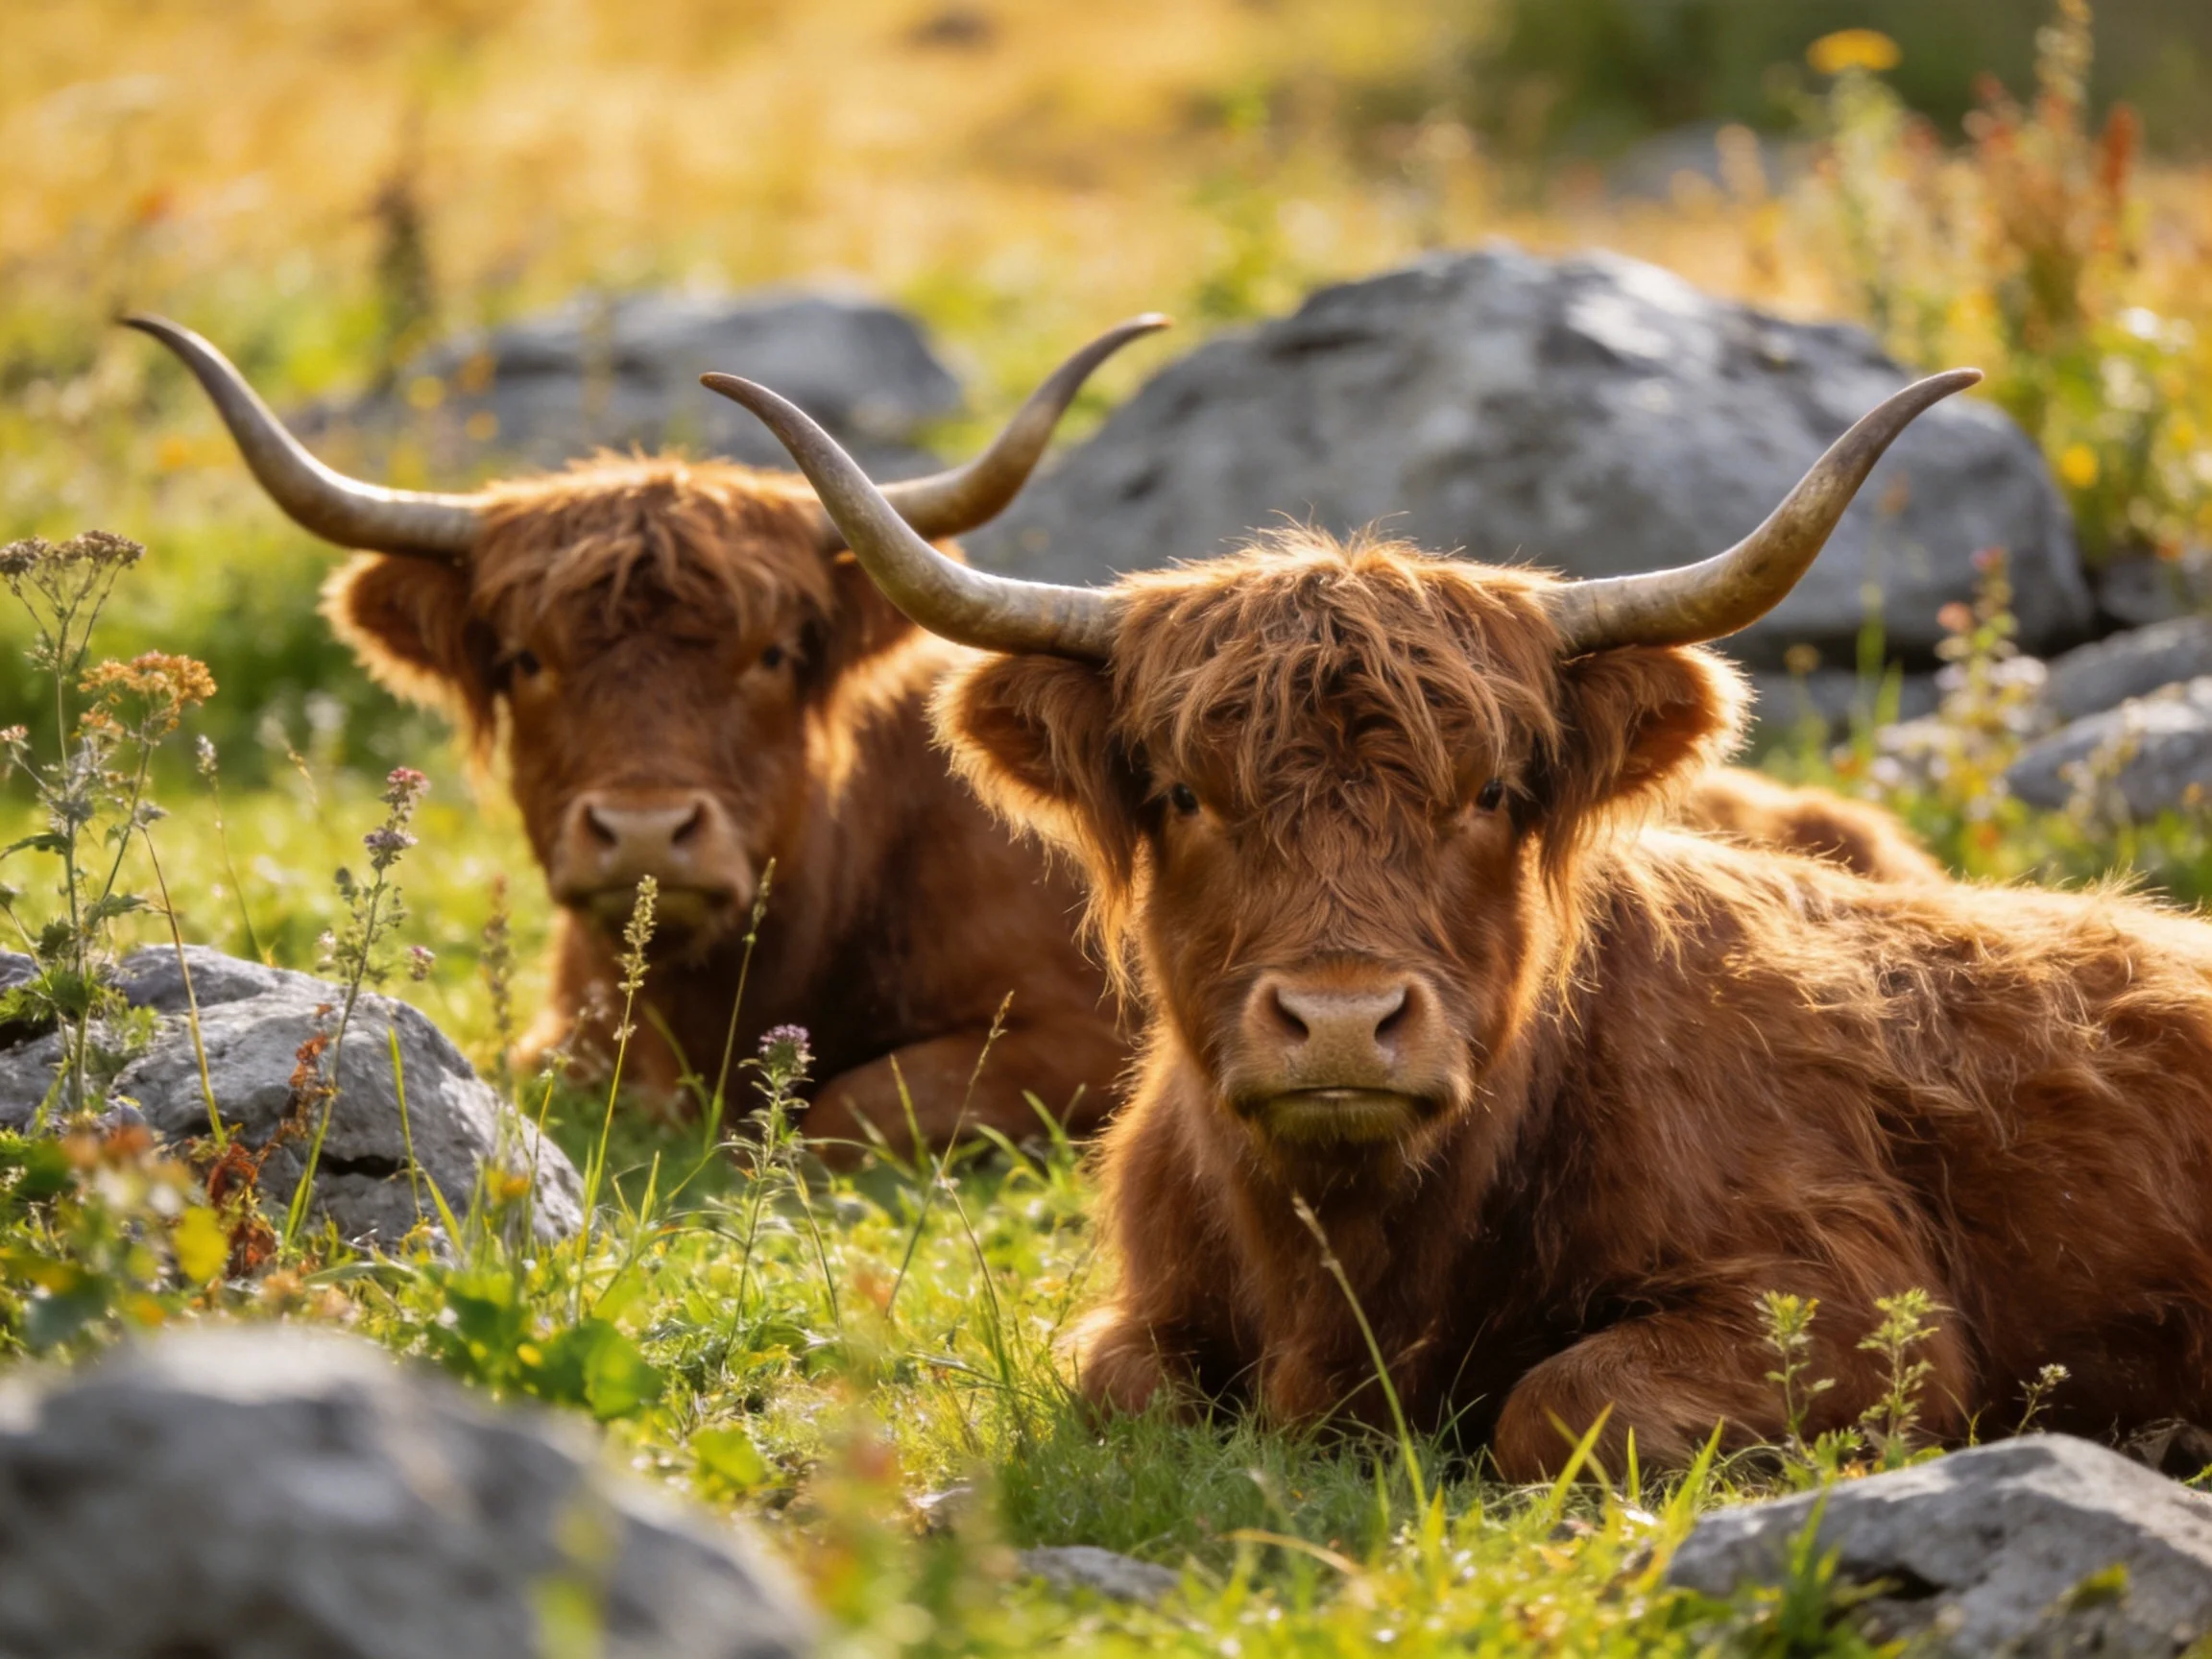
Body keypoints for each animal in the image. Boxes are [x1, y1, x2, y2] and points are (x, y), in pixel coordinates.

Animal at [711, 361, 2212, 1480]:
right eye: (1187, 794)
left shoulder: (1847, 1308)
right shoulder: (1147, 1312)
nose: (1339, 1020)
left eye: (1490, 792)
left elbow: (1561, 1406)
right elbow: (1124, 1389)